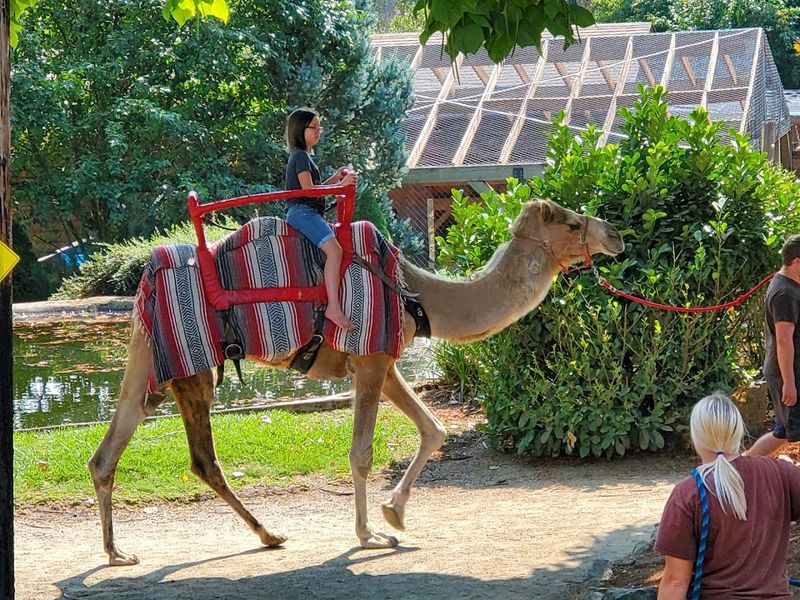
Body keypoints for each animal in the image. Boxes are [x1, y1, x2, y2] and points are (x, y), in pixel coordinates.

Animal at [88, 198, 624, 566]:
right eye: (572, 223)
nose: (616, 233)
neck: (416, 294)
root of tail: (144, 279)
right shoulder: (371, 355)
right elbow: (362, 451)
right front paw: (371, 535)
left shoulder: (382, 360)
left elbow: (434, 429)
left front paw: (395, 514)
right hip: (192, 365)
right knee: (203, 460)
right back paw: (270, 535)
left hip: (146, 361)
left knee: (108, 449)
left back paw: (118, 554)